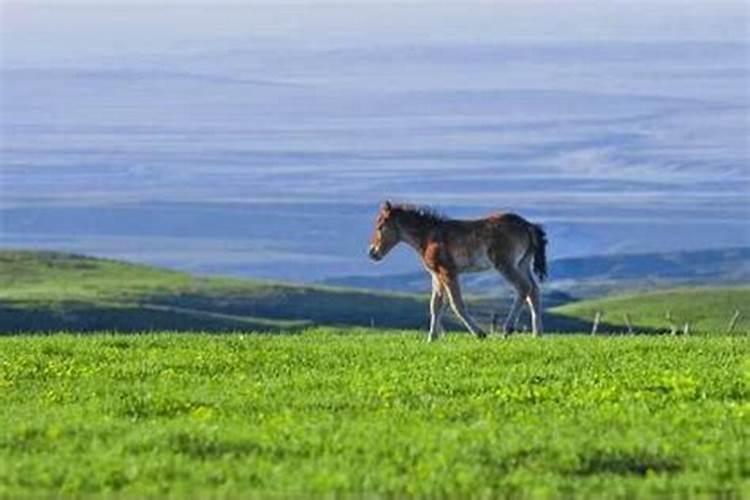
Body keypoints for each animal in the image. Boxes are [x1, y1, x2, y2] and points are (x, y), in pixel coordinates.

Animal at [368, 202, 548, 340]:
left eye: (380, 226)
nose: (372, 252)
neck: (428, 237)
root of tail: (528, 225)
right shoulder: (436, 275)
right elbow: (435, 305)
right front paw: (431, 338)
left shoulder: (448, 272)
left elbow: (456, 304)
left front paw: (479, 334)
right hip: (523, 263)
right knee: (534, 290)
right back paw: (537, 334)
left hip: (505, 264)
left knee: (523, 287)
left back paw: (508, 329)